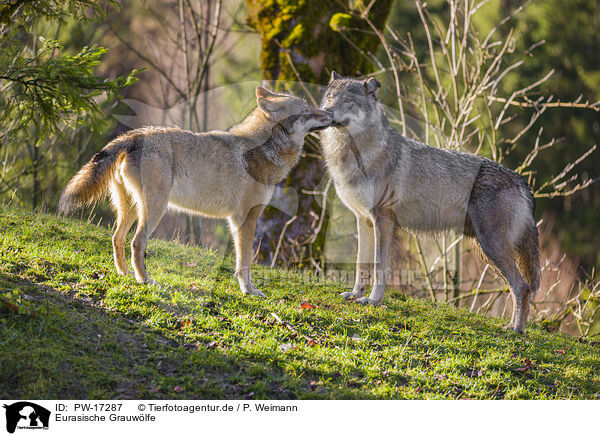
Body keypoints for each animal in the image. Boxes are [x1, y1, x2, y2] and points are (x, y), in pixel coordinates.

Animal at [59, 86, 332, 296]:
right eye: (306, 111)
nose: (330, 112)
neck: (262, 151)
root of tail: (136, 135)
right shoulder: (246, 219)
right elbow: (245, 263)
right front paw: (248, 291)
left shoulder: (235, 222)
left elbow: (240, 262)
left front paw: (249, 288)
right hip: (155, 210)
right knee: (136, 243)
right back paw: (145, 280)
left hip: (131, 210)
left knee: (117, 238)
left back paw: (126, 274)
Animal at [322, 73, 540, 332]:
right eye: (330, 97)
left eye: (347, 101)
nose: (325, 111)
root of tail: (520, 179)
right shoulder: (363, 220)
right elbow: (360, 263)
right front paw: (356, 295)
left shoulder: (383, 220)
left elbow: (378, 264)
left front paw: (373, 301)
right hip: (488, 249)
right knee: (521, 286)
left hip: (491, 247)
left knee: (522, 286)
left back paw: (515, 330)